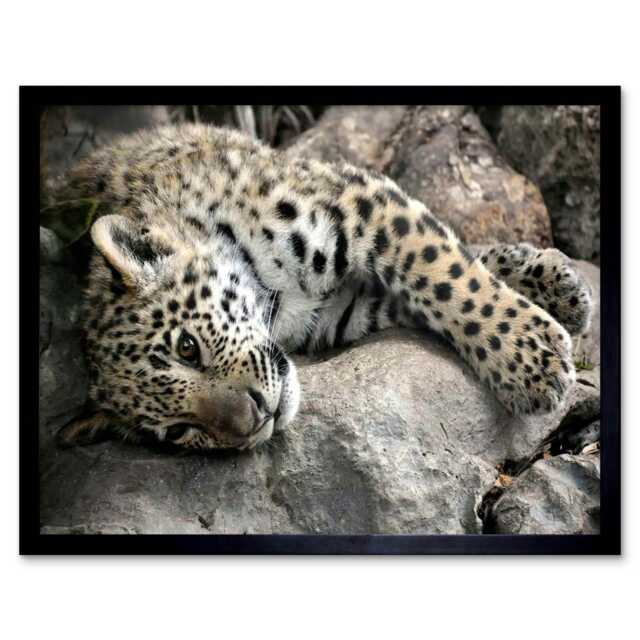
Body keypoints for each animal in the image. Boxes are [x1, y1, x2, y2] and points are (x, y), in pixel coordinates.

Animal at [55, 123, 593, 451]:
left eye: (187, 347)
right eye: (179, 432)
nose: (256, 419)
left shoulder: (357, 203)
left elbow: (443, 274)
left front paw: (532, 360)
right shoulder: (344, 311)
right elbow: (426, 290)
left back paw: (556, 281)